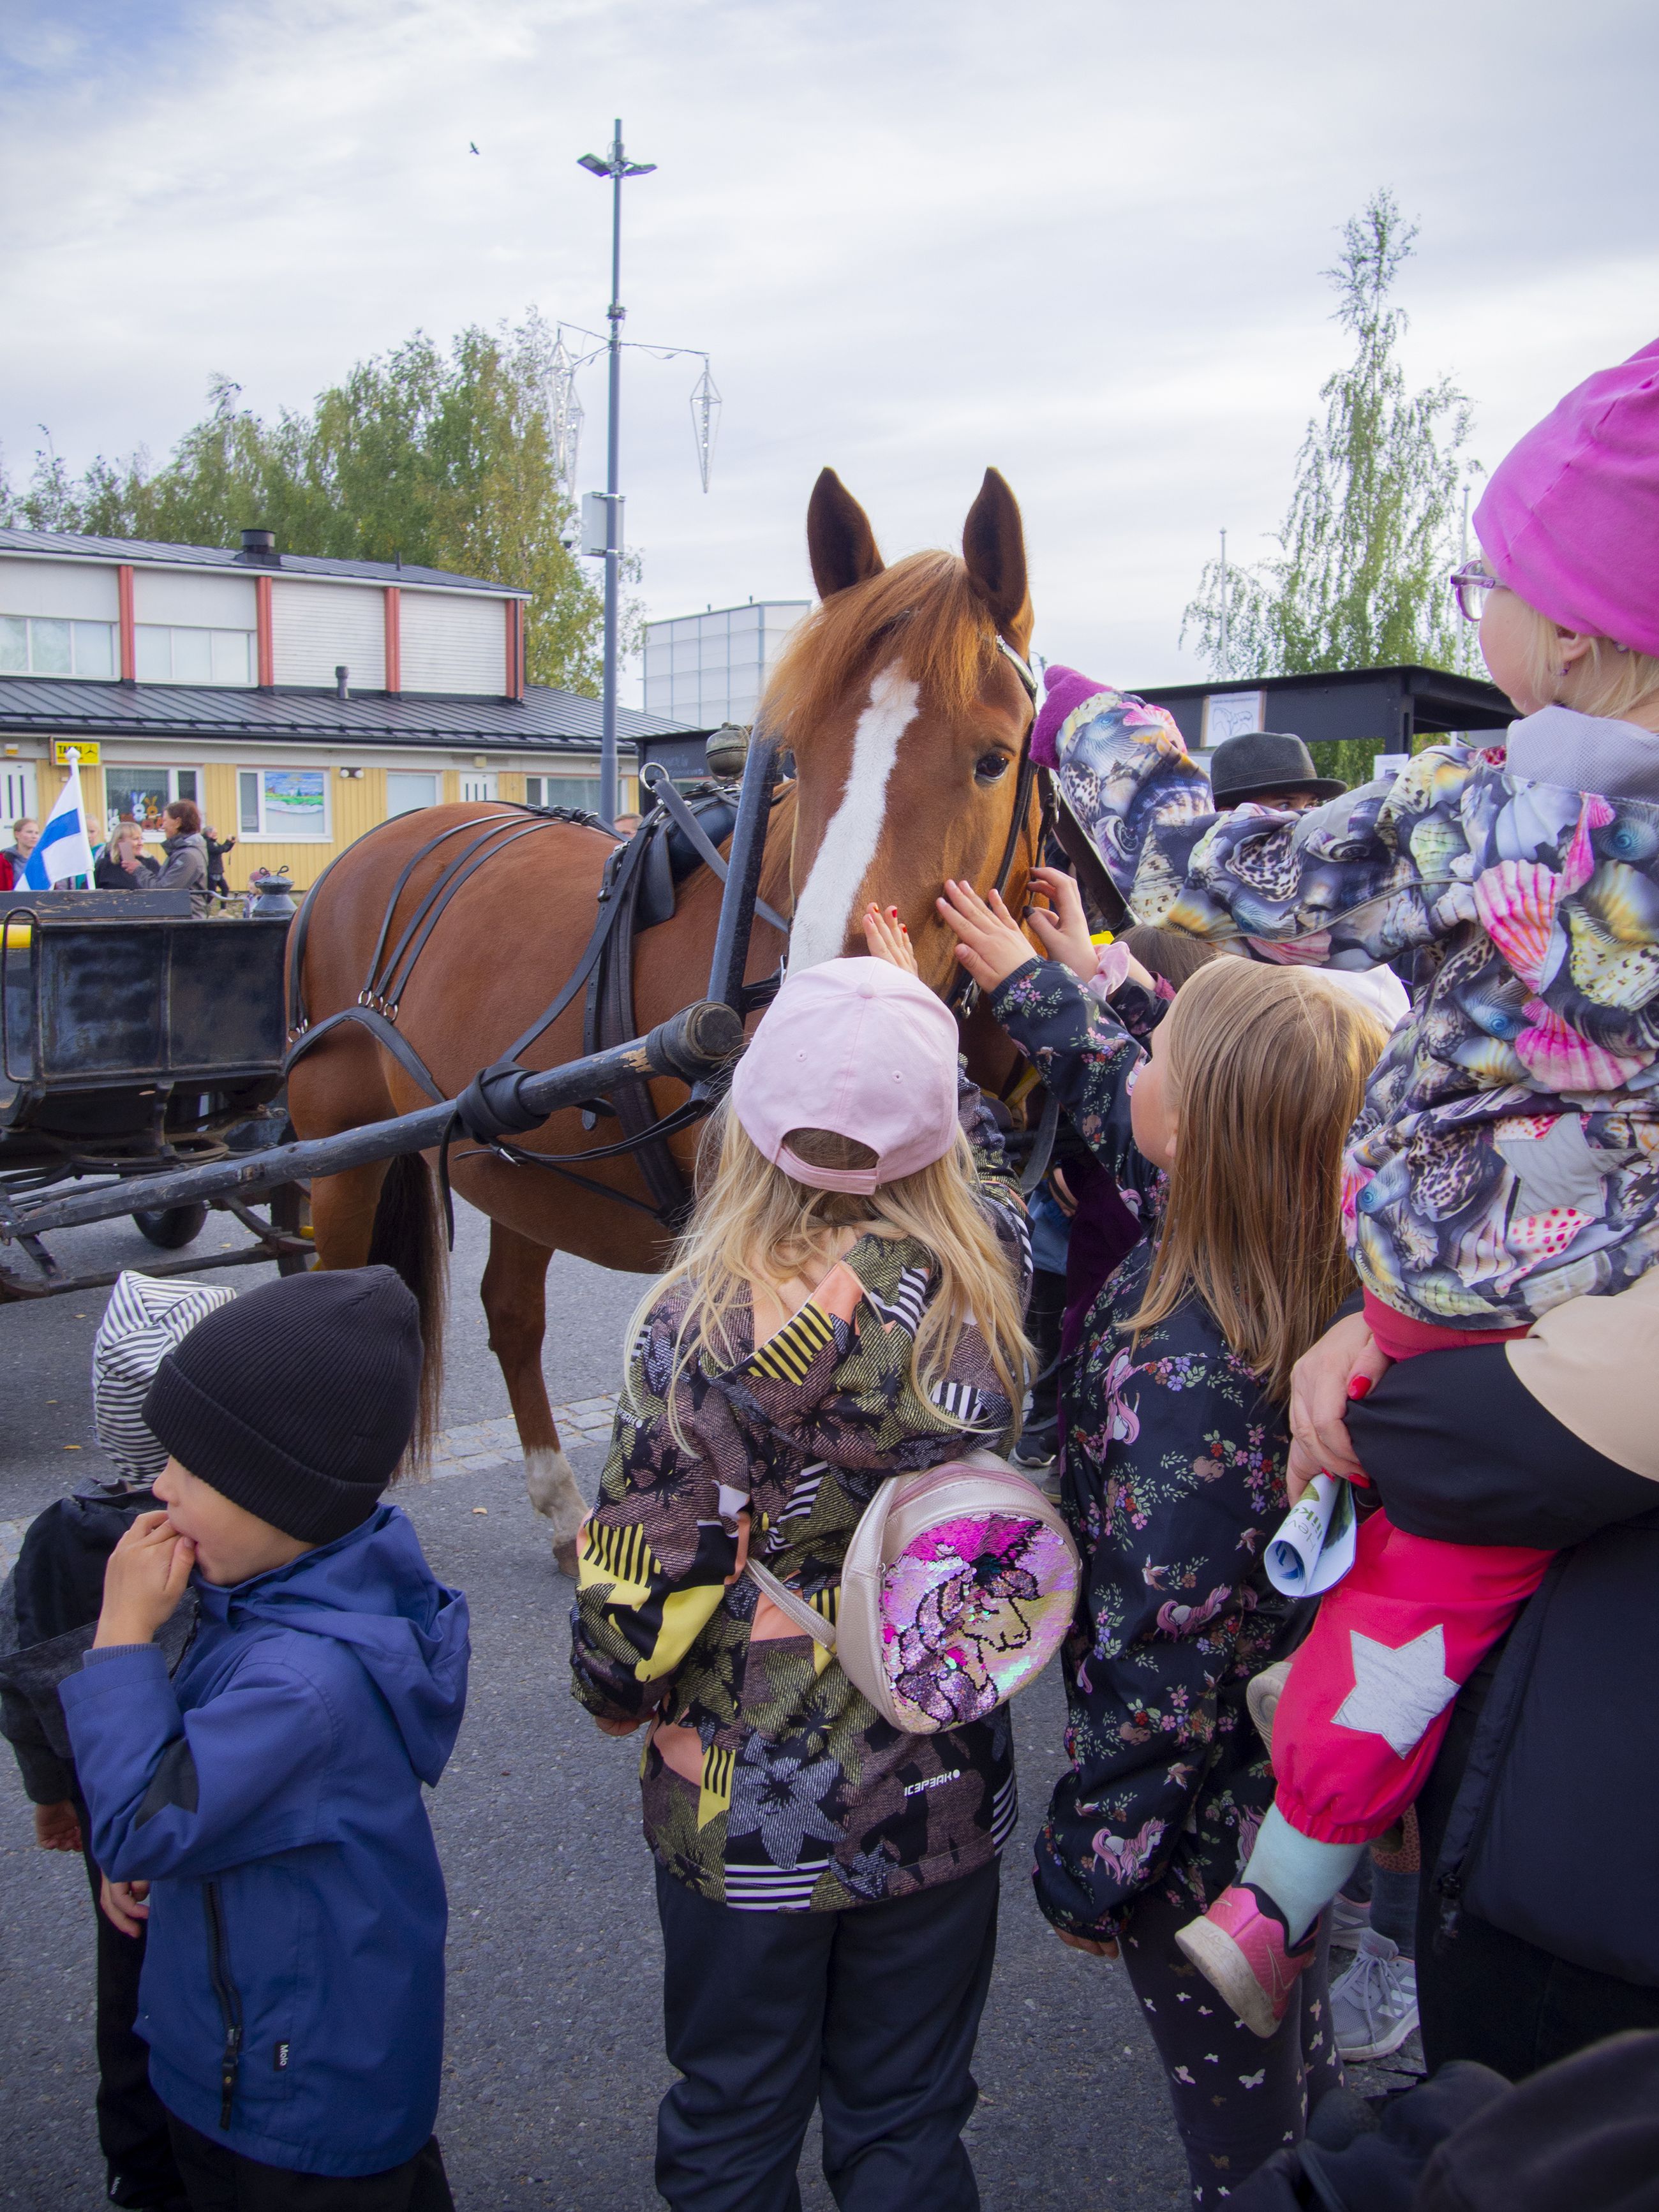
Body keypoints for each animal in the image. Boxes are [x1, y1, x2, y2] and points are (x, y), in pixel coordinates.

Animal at [285, 466, 1039, 1575]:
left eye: (992, 760)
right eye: (800, 756)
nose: (820, 1060)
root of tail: (362, 853)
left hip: (517, 1153)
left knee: (511, 1311)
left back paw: (563, 1508)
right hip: (341, 1153)